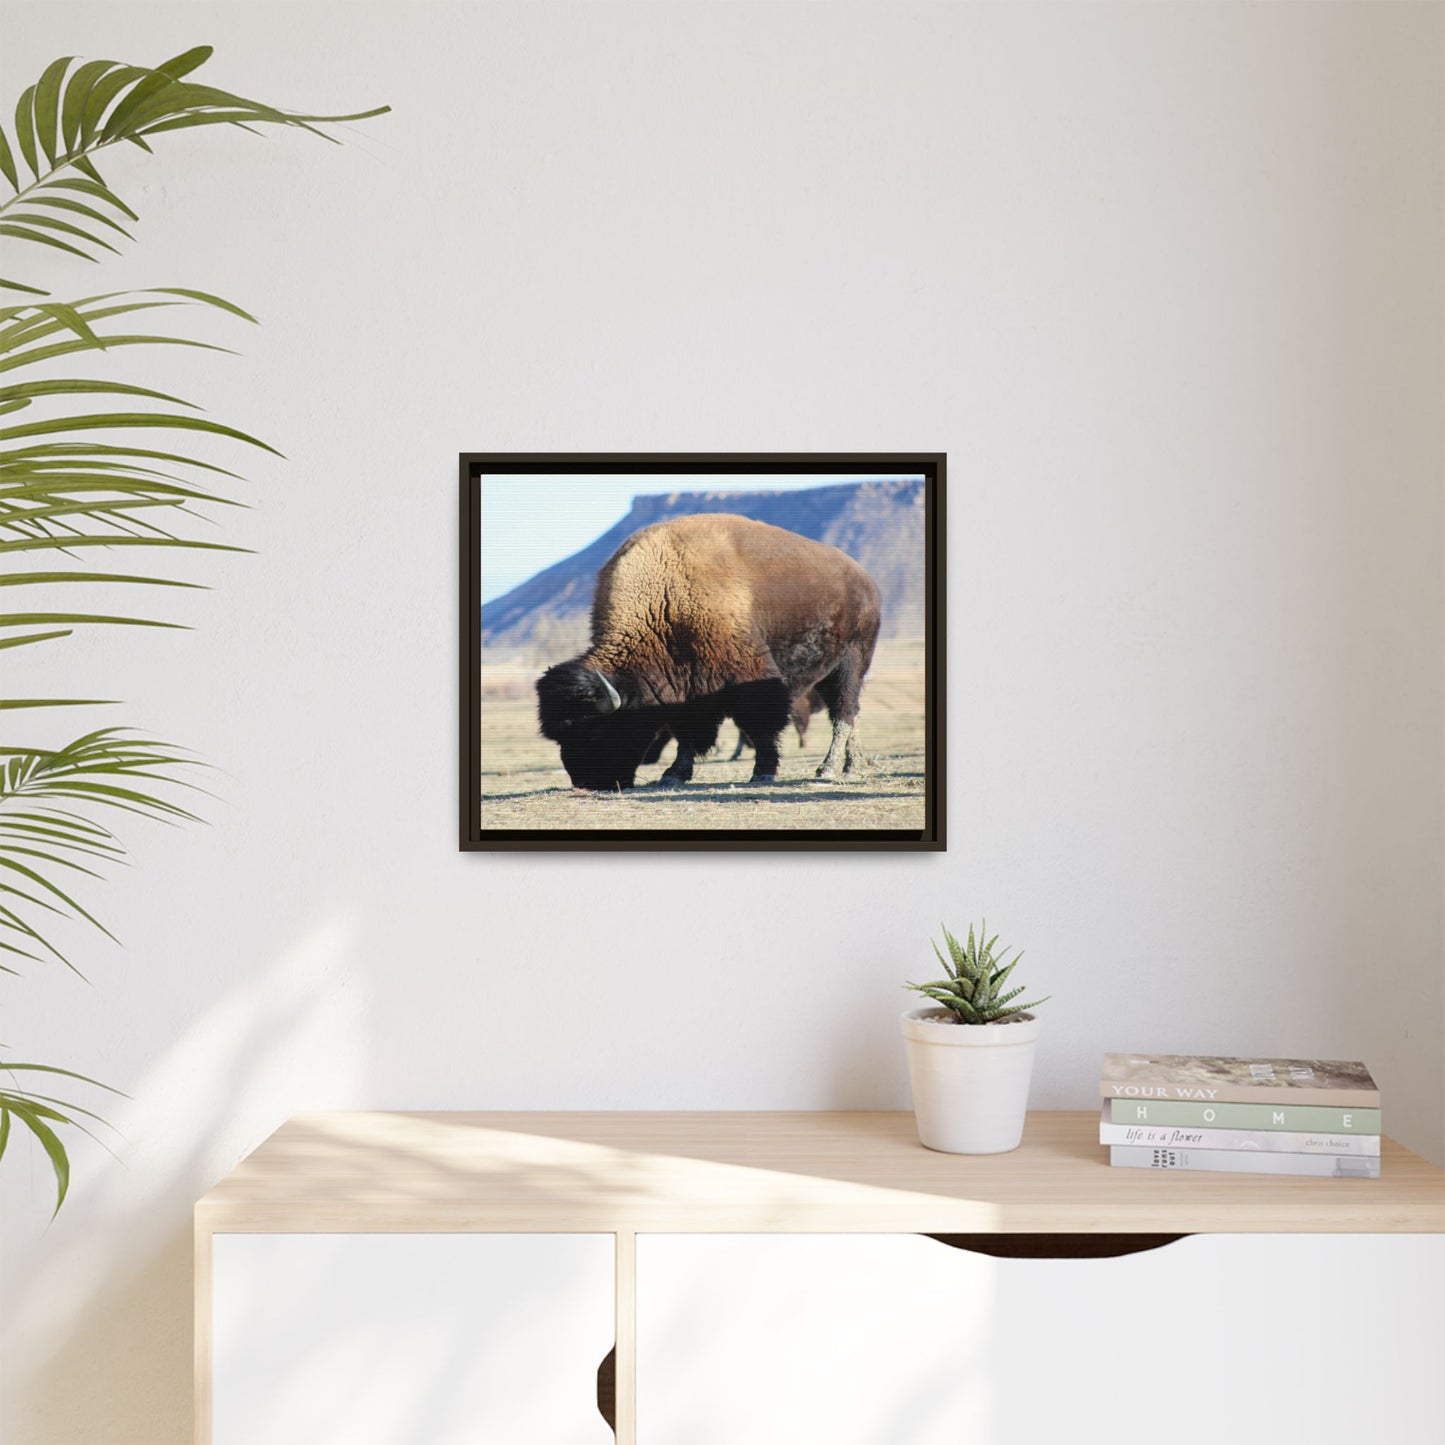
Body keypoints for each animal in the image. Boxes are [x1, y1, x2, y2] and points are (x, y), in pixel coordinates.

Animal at [536, 513, 881, 791]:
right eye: (560, 736)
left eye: (593, 731)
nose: (585, 782)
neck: (665, 600)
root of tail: (865, 580)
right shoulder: (688, 690)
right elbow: (688, 734)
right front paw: (673, 775)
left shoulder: (751, 679)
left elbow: (762, 726)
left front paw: (763, 772)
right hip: (829, 670)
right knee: (849, 713)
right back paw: (852, 765)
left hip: (852, 662)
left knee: (843, 712)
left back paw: (831, 769)